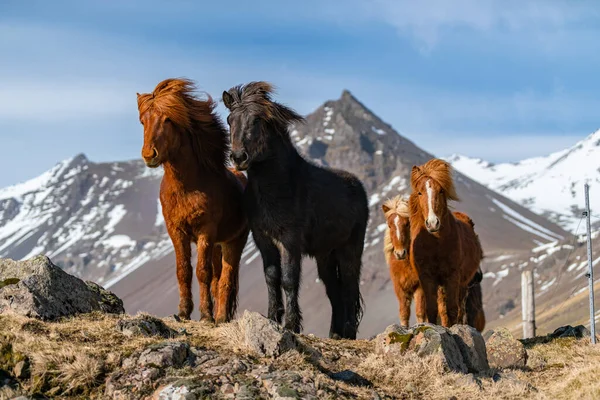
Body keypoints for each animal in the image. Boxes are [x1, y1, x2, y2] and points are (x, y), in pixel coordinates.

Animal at [137, 79, 248, 324]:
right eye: (143, 121)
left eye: (168, 119)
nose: (149, 155)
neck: (186, 187)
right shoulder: (176, 231)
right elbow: (184, 271)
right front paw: (183, 312)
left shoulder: (205, 231)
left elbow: (202, 273)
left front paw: (205, 314)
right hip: (217, 245)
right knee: (217, 279)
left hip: (233, 242)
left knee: (225, 279)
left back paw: (220, 317)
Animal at [223, 83, 368, 340]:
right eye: (230, 120)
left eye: (257, 120)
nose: (239, 157)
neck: (278, 185)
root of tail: (358, 187)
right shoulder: (263, 239)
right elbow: (271, 277)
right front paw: (272, 317)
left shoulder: (289, 241)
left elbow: (289, 280)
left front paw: (291, 325)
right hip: (325, 255)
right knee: (334, 290)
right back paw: (335, 334)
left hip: (350, 248)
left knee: (349, 286)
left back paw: (349, 332)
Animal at [380, 195, 426, 328]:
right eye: (389, 225)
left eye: (407, 224)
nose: (400, 253)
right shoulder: (400, 289)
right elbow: (404, 313)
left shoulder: (420, 287)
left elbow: (420, 311)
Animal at [410, 159, 486, 328]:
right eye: (419, 192)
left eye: (441, 191)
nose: (433, 223)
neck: (436, 243)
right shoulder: (427, 277)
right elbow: (432, 309)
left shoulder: (452, 276)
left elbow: (451, 309)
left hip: (462, 284)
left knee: (459, 308)